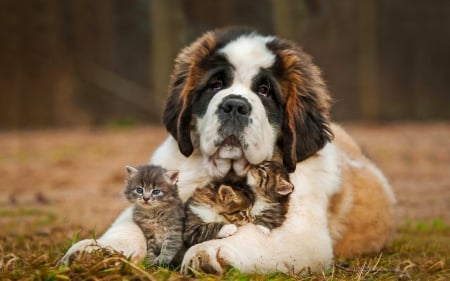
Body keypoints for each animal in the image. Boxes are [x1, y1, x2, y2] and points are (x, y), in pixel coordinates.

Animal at [61, 27, 396, 274]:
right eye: (215, 85)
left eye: (265, 91)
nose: (234, 105)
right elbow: (128, 226)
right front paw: (97, 251)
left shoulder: (302, 232)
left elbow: (249, 232)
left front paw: (209, 252)